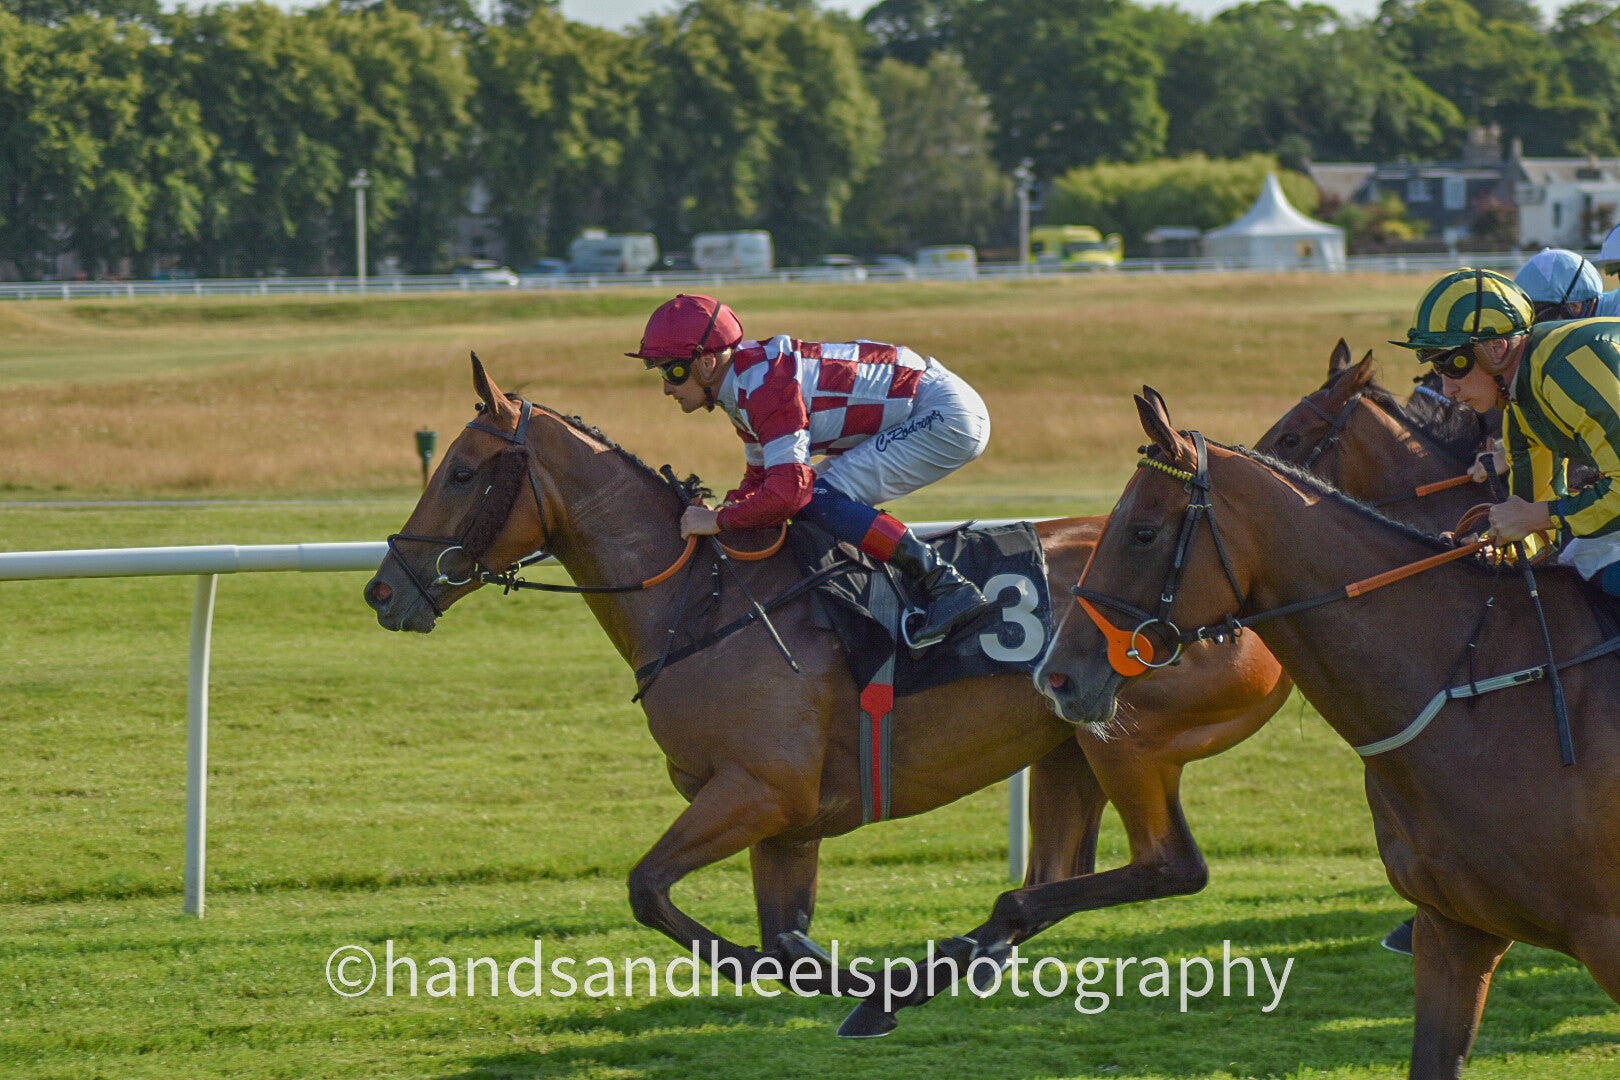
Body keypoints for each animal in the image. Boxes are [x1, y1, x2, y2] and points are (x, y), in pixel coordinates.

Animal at [363, 355, 1291, 1010]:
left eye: (460, 472)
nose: (383, 590)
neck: (702, 601)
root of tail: (1250, 594)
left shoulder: (757, 790)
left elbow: (650, 891)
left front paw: (796, 976)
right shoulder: (788, 821)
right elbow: (787, 942)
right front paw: (854, 984)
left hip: (1125, 736)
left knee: (1167, 866)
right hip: (1067, 744)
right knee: (1051, 879)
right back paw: (953, 962)